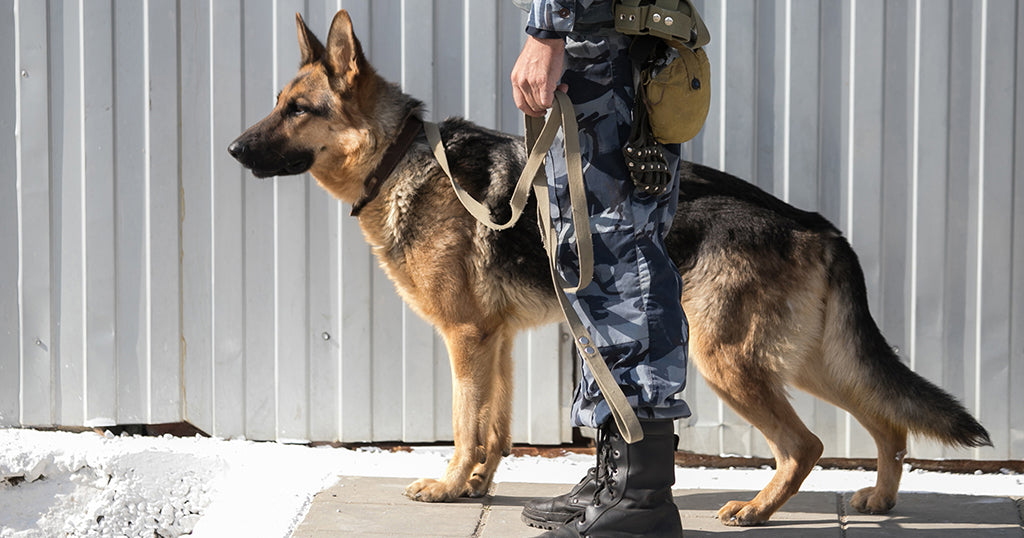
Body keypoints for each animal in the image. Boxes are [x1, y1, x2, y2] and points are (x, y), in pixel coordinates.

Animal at [228, 10, 987, 524]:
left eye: (299, 110)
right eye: (277, 105)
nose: (233, 149)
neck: (397, 158)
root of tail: (813, 221)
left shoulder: (466, 340)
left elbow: (466, 423)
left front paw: (446, 486)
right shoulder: (495, 342)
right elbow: (496, 427)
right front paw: (476, 487)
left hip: (730, 360)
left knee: (807, 442)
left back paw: (757, 509)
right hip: (805, 358)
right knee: (887, 417)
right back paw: (880, 497)